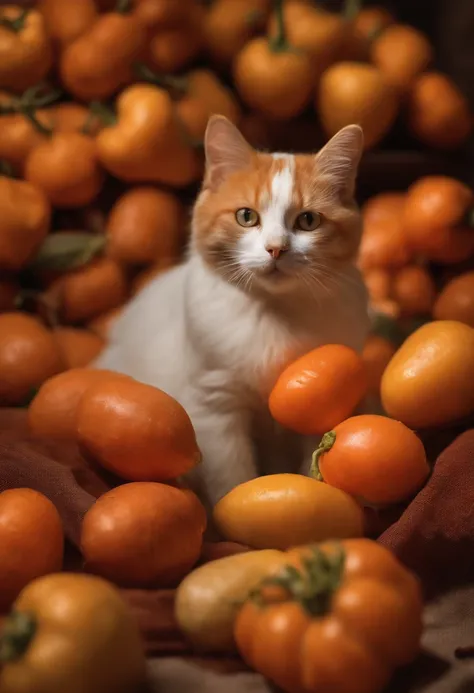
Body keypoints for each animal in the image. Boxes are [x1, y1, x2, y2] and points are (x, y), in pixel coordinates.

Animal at [96, 112, 370, 502]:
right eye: (246, 216)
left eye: (308, 221)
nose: (276, 248)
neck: (274, 313)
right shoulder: (215, 407)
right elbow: (232, 477)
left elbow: (313, 462)